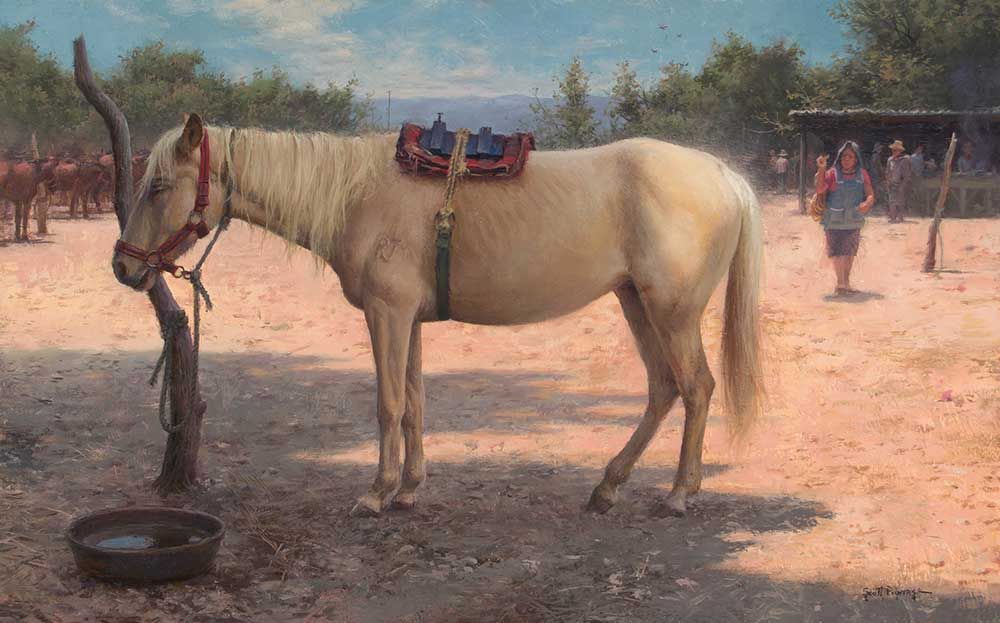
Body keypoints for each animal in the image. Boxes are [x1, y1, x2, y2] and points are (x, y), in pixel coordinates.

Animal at [112, 114, 763, 518]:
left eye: (160, 185)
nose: (123, 266)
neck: (359, 195)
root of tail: (725, 175)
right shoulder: (410, 320)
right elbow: (415, 403)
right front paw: (408, 490)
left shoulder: (387, 314)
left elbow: (388, 404)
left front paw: (376, 495)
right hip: (636, 303)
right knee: (663, 389)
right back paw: (607, 487)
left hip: (671, 310)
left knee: (697, 387)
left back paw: (679, 494)